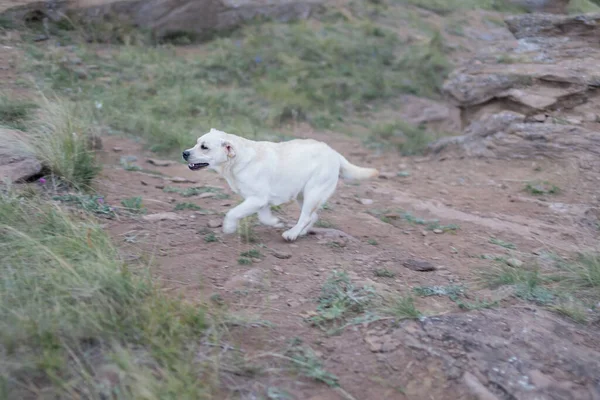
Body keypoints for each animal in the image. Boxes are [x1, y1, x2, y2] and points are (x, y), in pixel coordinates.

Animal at [183, 128, 378, 241]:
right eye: (197, 142)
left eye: (204, 147)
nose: (184, 153)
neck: (237, 160)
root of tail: (335, 153)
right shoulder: (259, 200)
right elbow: (263, 216)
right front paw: (275, 222)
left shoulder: (257, 198)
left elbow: (233, 212)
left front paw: (229, 227)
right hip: (303, 195)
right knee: (312, 216)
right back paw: (300, 232)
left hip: (313, 192)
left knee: (306, 216)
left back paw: (291, 234)